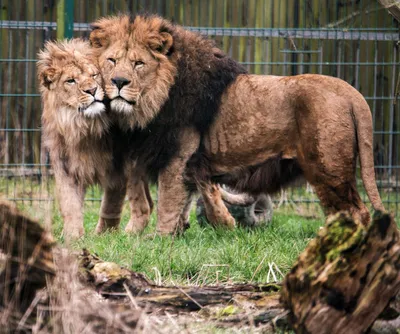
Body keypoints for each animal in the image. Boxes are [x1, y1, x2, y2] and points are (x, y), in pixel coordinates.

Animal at [38, 38, 153, 240]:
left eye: (94, 75)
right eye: (70, 80)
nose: (92, 90)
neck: (83, 127)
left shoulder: (119, 165)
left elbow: (112, 203)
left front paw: (106, 234)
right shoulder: (65, 166)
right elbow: (70, 204)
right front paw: (72, 236)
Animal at [90, 15, 384, 235]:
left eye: (139, 63)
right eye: (112, 61)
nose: (118, 82)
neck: (152, 101)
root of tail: (351, 92)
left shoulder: (177, 157)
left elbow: (168, 204)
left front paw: (160, 240)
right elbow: (178, 202)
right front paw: (176, 232)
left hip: (328, 169)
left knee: (357, 212)